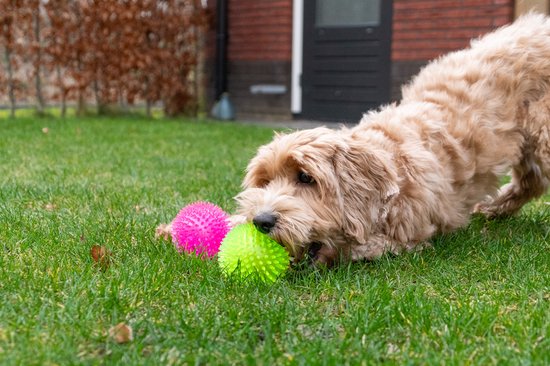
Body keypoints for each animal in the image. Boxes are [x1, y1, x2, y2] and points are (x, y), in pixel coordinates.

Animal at [234, 14, 550, 266]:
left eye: (305, 178)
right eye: (264, 181)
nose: (261, 221)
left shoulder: (412, 231)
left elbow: (370, 246)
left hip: (543, 132)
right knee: (530, 181)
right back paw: (494, 207)